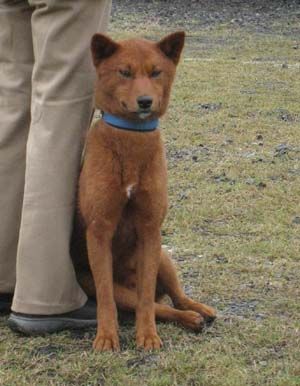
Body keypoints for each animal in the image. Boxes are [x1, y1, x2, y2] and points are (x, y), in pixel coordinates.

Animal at [74, 32, 217, 352]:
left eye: (155, 72)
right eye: (124, 72)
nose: (145, 101)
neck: (131, 140)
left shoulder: (151, 230)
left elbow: (147, 301)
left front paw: (148, 336)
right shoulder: (99, 231)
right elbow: (106, 299)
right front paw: (106, 337)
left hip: (163, 257)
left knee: (170, 298)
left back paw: (198, 311)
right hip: (106, 284)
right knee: (156, 304)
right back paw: (190, 319)